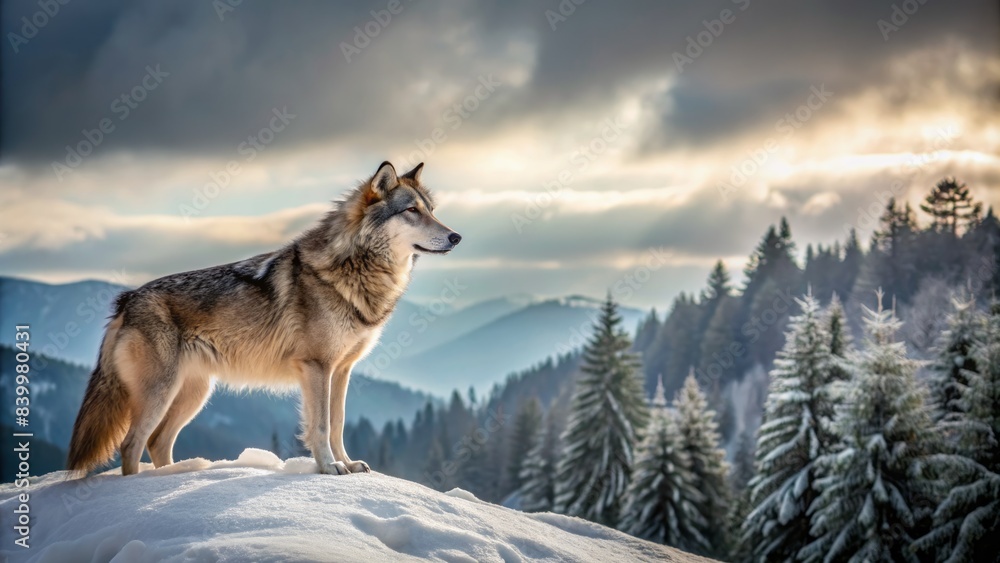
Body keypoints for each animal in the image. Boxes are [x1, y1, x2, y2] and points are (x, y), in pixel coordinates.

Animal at [67, 161, 460, 476]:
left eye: (431, 210)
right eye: (411, 210)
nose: (456, 236)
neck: (355, 269)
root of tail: (126, 300)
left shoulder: (342, 370)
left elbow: (337, 424)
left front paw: (347, 464)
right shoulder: (317, 367)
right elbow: (320, 426)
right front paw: (329, 467)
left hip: (194, 394)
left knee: (158, 443)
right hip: (161, 393)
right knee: (131, 444)